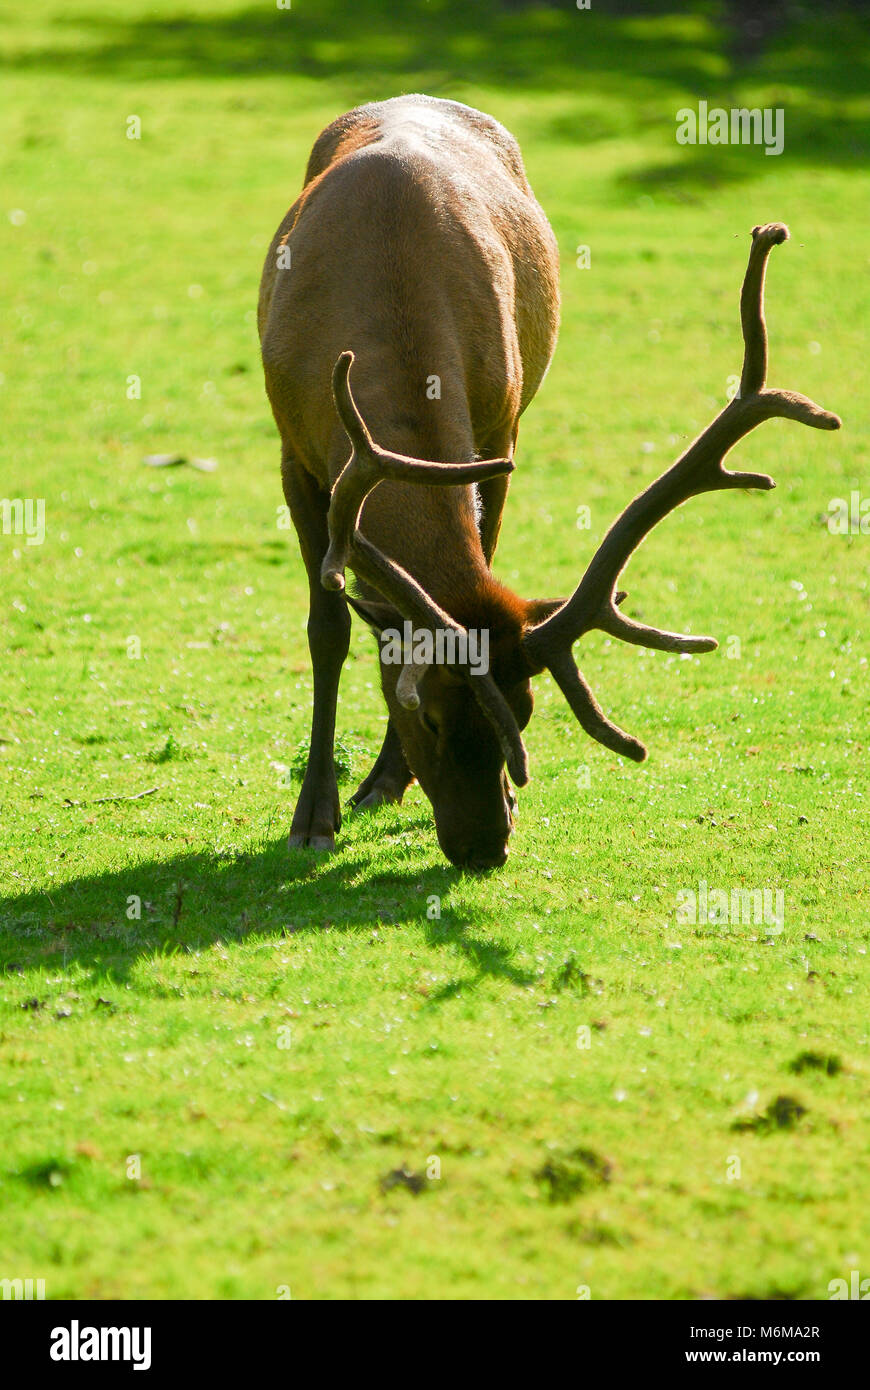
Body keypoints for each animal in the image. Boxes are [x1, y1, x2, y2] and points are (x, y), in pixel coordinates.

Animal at [255, 95, 833, 867]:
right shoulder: (295, 453)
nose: (486, 845)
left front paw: (384, 783)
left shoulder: (499, 437)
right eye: (428, 715)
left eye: (525, 712)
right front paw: (314, 817)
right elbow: (329, 630)